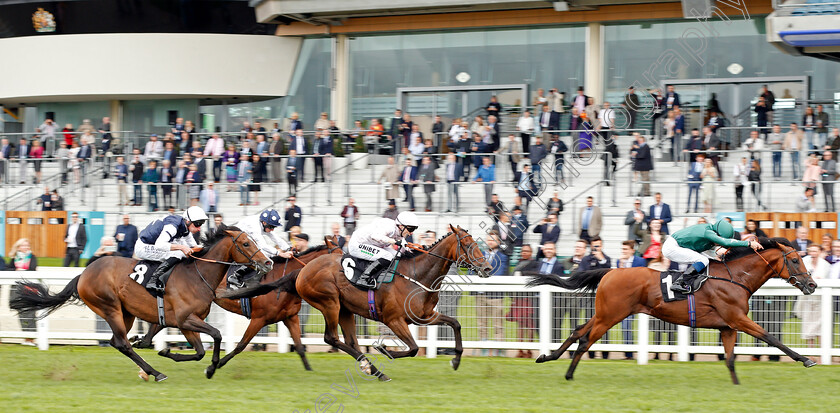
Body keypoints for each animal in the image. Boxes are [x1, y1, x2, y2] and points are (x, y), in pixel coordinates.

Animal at [9, 224, 272, 382]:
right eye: (246, 244)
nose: (268, 262)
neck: (197, 274)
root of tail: (83, 274)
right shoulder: (186, 319)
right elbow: (216, 335)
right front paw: (209, 367)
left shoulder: (186, 322)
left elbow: (198, 351)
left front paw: (168, 351)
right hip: (110, 307)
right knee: (122, 344)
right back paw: (155, 372)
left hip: (126, 313)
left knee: (117, 341)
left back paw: (146, 358)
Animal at [131, 238, 342, 376]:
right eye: (341, 260)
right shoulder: (260, 318)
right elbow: (241, 345)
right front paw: (215, 365)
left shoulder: (290, 317)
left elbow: (299, 347)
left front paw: (309, 370)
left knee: (160, 323)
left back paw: (142, 341)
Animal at [226, 225, 496, 380]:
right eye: (469, 245)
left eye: (479, 243)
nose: (487, 268)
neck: (417, 275)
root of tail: (302, 271)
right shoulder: (395, 320)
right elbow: (412, 348)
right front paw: (384, 350)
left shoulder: (424, 316)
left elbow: (455, 324)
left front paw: (455, 360)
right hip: (330, 303)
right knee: (331, 338)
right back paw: (373, 369)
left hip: (345, 310)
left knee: (350, 342)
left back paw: (370, 367)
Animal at [528, 237, 816, 384]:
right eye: (794, 260)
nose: (812, 284)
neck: (736, 278)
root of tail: (611, 271)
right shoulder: (738, 318)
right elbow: (771, 338)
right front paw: (806, 359)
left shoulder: (727, 326)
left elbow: (731, 359)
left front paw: (736, 386)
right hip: (610, 316)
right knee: (586, 339)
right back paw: (568, 373)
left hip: (603, 314)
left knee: (578, 331)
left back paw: (548, 357)